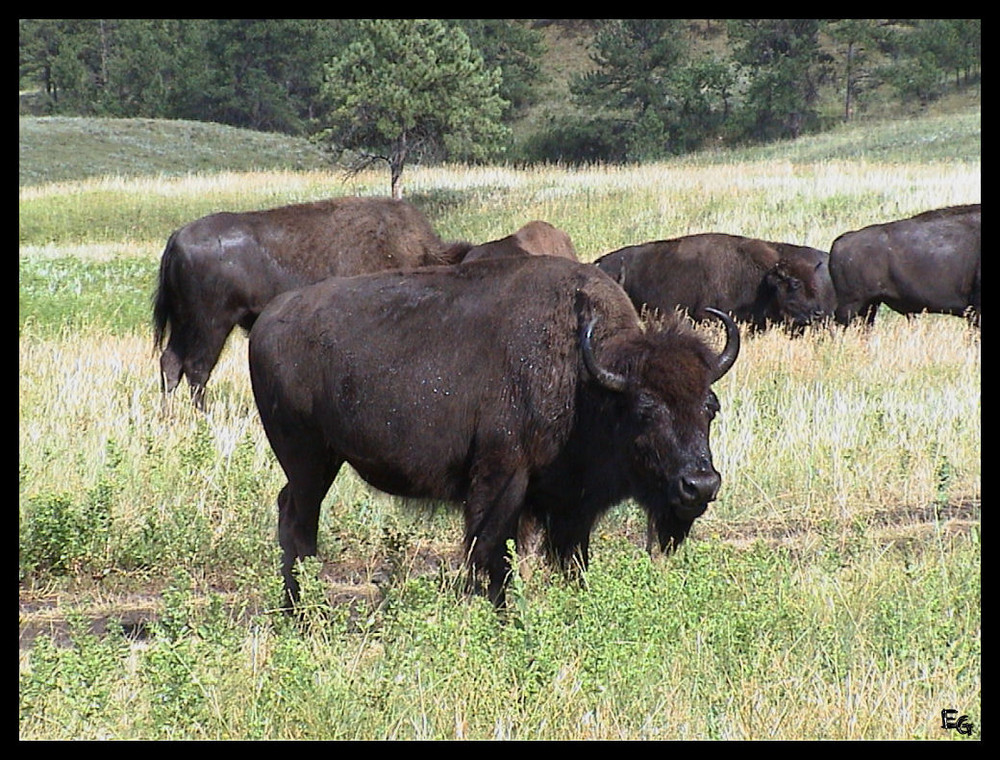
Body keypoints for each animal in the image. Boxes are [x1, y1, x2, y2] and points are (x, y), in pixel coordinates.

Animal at [152, 197, 458, 410]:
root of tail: (177, 237)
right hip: (211, 324)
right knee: (196, 368)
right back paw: (203, 417)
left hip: (184, 322)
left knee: (171, 361)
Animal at [246, 254, 740, 604]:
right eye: (644, 409)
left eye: (709, 407)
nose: (699, 485)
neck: (584, 380)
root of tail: (268, 319)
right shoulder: (500, 481)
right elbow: (492, 556)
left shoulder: (572, 507)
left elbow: (572, 560)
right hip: (308, 460)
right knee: (299, 523)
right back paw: (304, 614)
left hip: (319, 462)